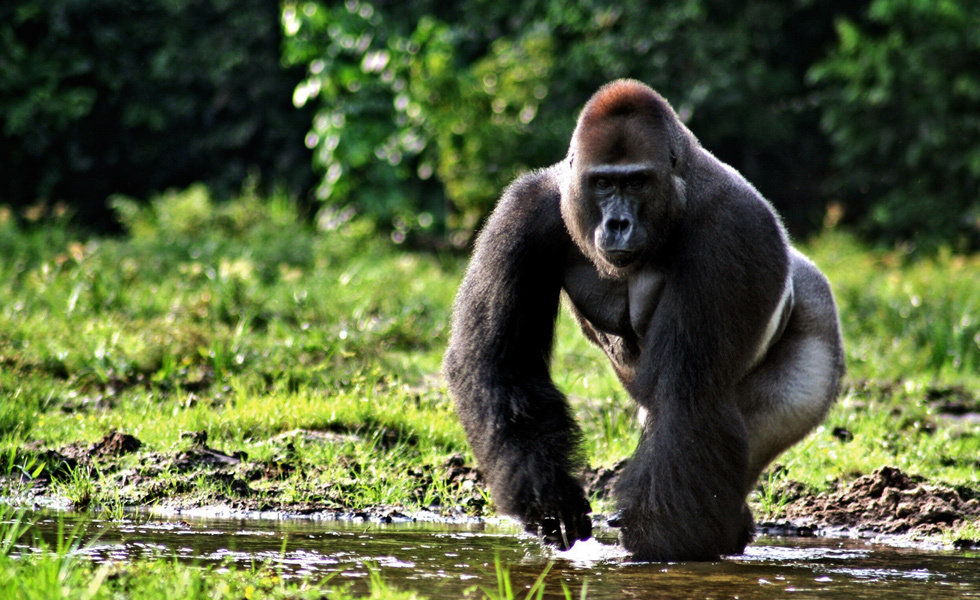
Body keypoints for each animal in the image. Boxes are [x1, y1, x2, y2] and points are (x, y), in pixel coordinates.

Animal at [442, 79, 844, 564]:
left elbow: (687, 395)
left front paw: (662, 541)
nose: (618, 223)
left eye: (637, 182)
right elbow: (502, 362)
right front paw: (551, 499)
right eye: (602, 183)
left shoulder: (731, 227)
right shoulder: (524, 210)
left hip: (816, 328)